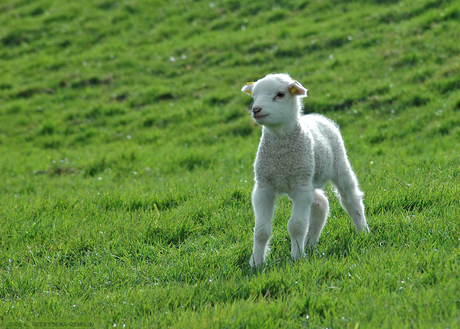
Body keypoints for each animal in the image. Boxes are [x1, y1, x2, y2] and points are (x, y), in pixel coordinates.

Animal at [243, 73, 368, 266]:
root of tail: (317, 116)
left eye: (280, 94)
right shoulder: (264, 186)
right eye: (254, 96)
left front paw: (296, 258)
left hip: (338, 165)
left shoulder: (301, 187)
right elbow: (261, 230)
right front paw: (256, 263)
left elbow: (296, 225)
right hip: (306, 179)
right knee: (321, 203)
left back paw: (362, 230)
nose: (256, 109)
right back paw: (310, 244)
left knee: (351, 198)